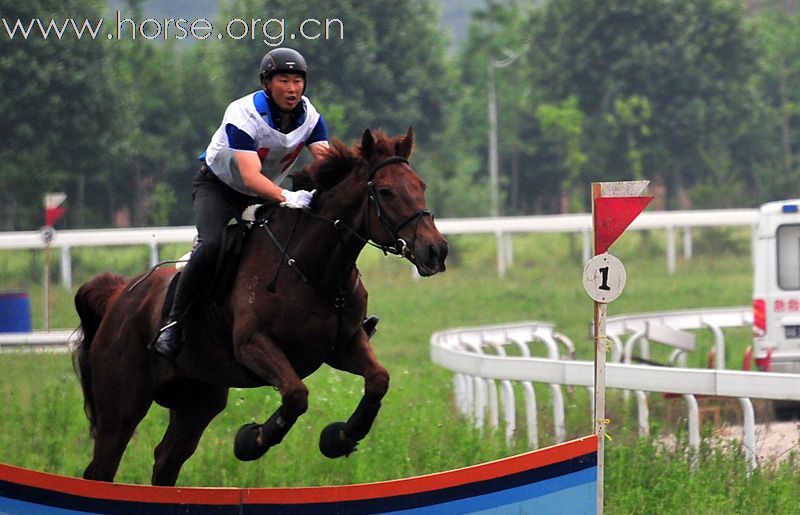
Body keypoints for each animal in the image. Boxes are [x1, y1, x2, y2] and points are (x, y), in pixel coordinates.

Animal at [71, 127, 446, 486]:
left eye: (421, 185)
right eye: (385, 191)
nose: (436, 250)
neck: (311, 268)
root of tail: (119, 296)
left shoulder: (344, 344)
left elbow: (378, 380)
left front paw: (339, 438)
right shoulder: (254, 345)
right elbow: (296, 394)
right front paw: (251, 441)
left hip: (198, 400)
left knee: (165, 462)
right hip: (121, 407)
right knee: (102, 468)